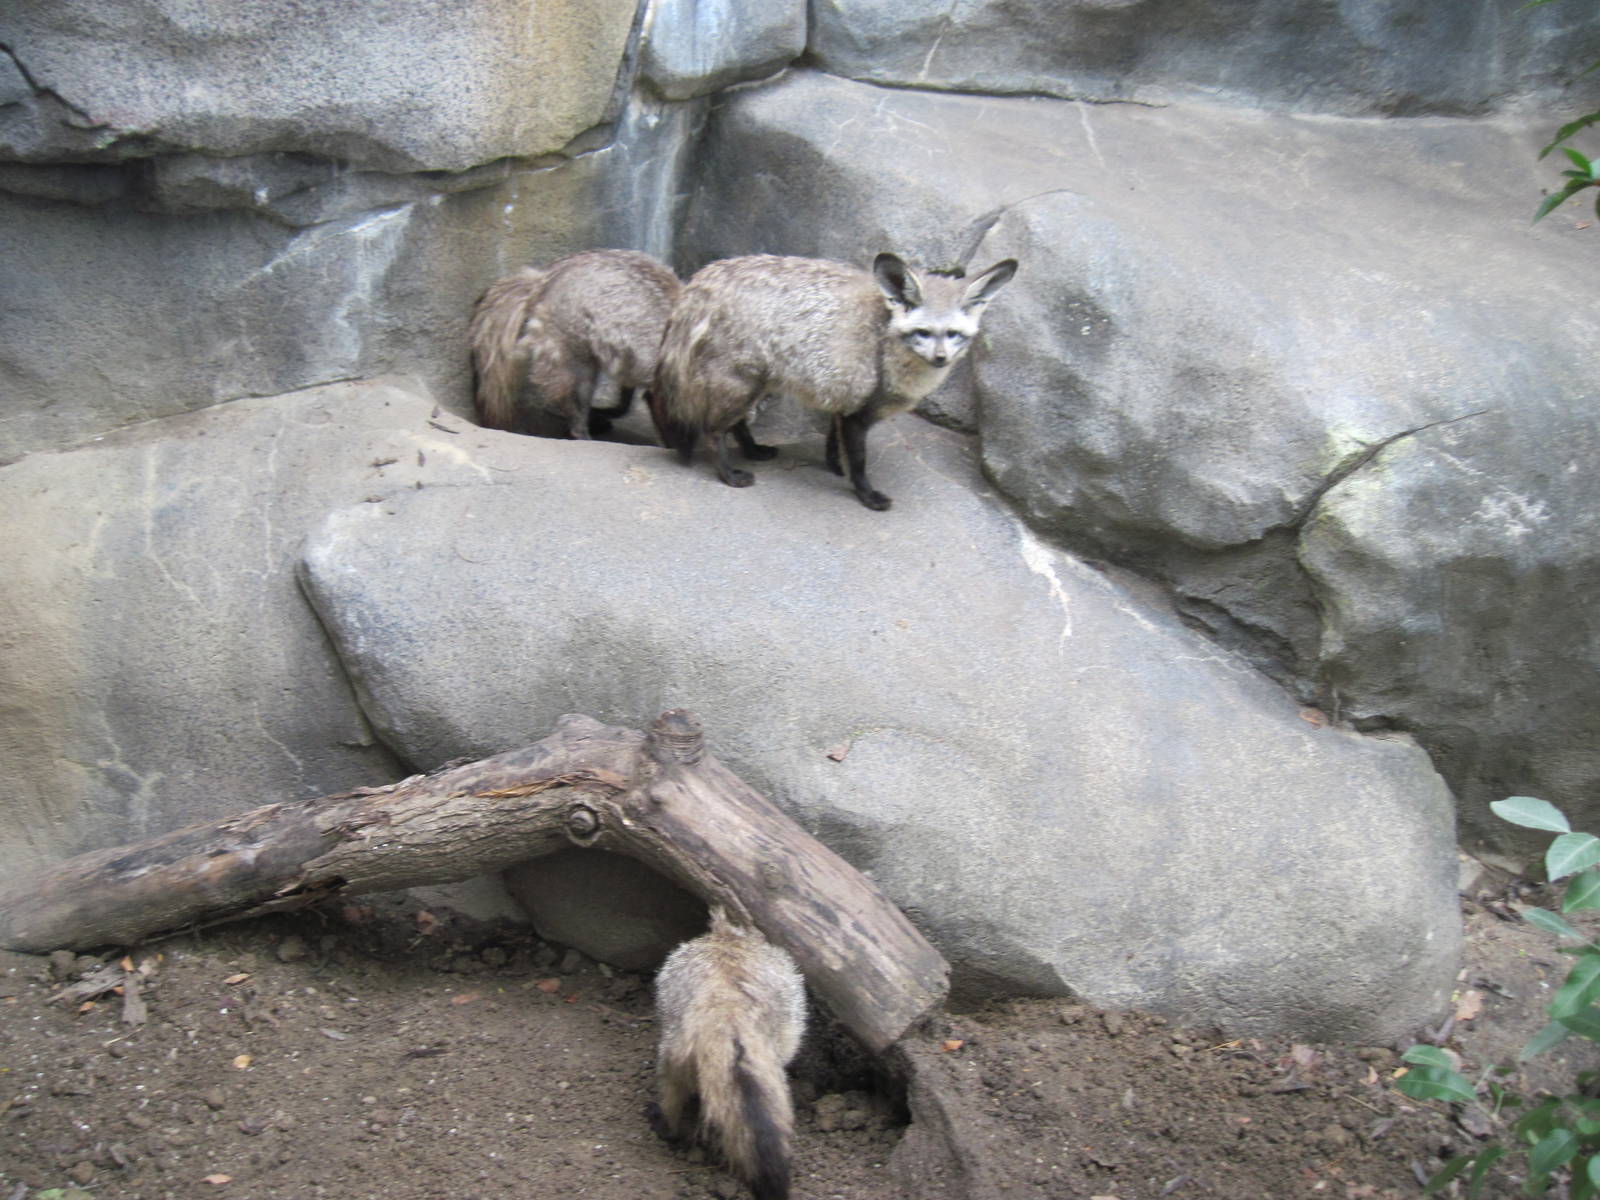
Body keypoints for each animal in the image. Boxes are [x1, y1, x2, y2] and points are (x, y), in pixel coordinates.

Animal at [649, 251, 1017, 510]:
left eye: (953, 334)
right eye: (923, 333)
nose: (941, 359)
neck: (884, 343)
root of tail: (699, 281)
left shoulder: (841, 396)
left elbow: (832, 442)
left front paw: (833, 466)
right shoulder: (857, 410)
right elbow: (859, 461)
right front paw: (865, 494)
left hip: (756, 384)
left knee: (735, 424)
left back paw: (753, 449)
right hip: (741, 385)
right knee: (713, 430)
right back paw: (728, 473)